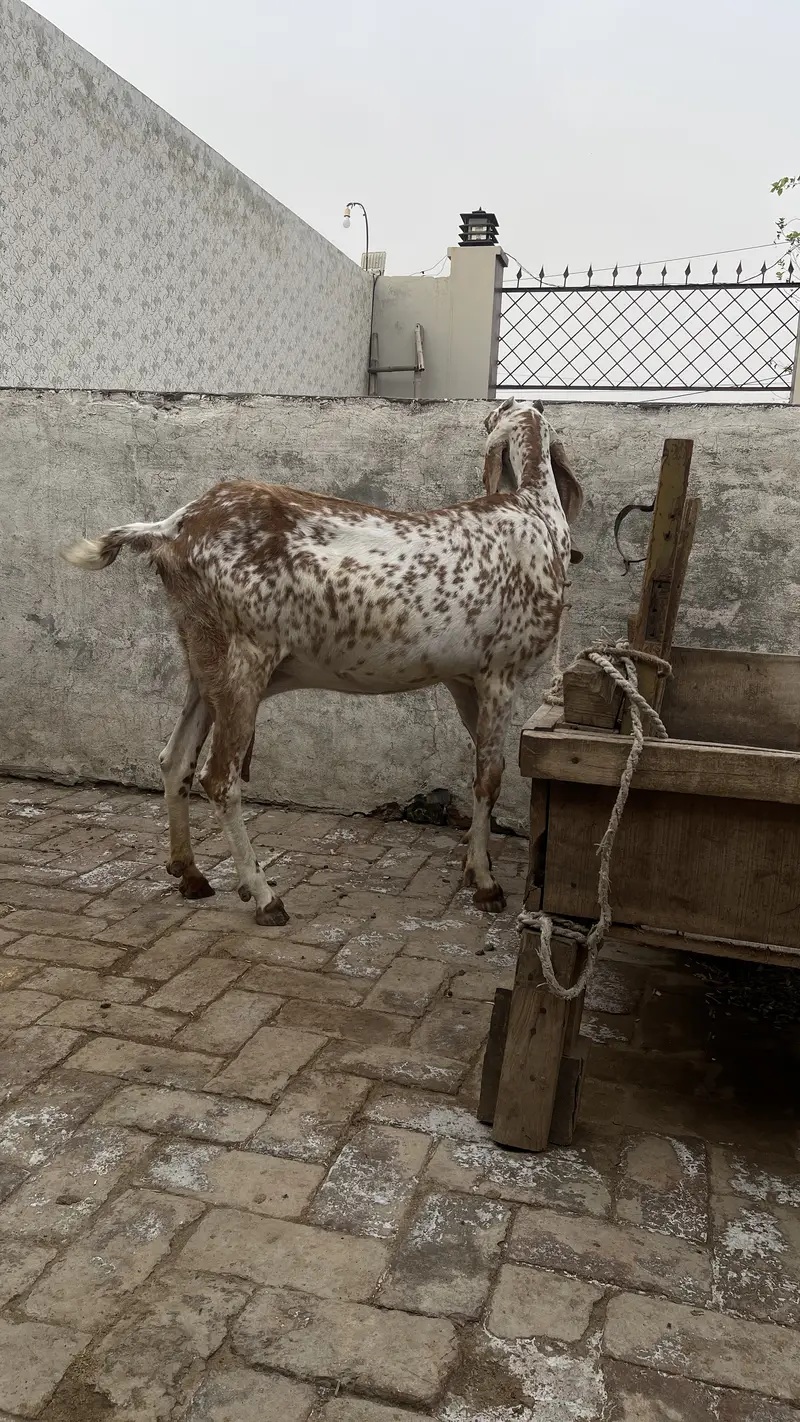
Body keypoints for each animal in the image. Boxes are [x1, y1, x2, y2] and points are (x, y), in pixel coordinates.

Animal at [62, 399, 582, 926]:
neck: (536, 512)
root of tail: (176, 526)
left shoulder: (463, 678)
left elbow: (483, 765)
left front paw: (476, 865)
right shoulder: (502, 671)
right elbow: (490, 776)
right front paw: (486, 883)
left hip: (204, 660)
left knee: (175, 761)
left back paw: (190, 874)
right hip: (248, 657)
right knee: (220, 776)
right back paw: (264, 895)